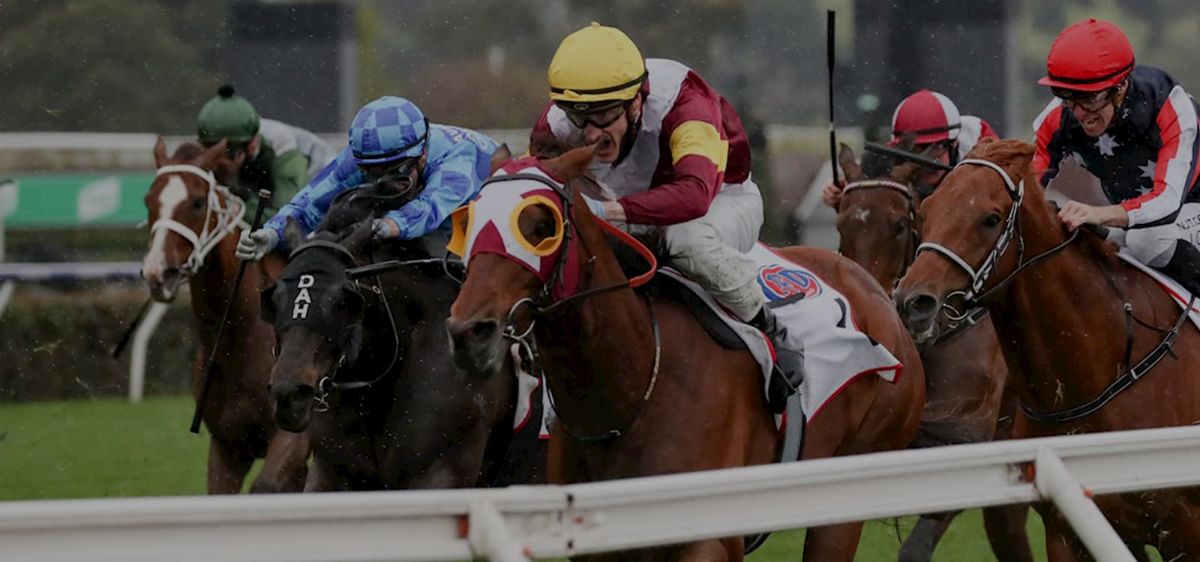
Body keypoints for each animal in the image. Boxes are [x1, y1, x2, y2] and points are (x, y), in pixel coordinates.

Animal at [140, 137, 309, 494]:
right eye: (148, 201)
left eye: (197, 202)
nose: (158, 273)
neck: (239, 335)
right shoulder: (227, 444)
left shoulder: (294, 438)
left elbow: (267, 487)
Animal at [446, 143, 925, 561]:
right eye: (468, 220)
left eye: (543, 226)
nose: (471, 332)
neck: (634, 386)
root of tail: (873, 287)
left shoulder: (710, 541)